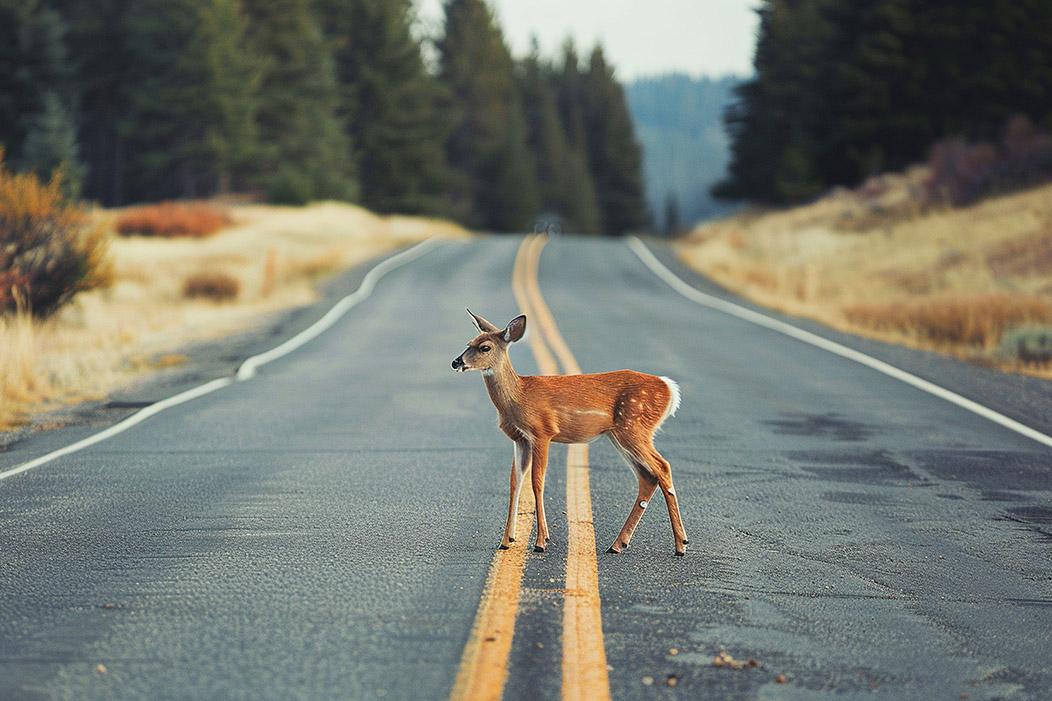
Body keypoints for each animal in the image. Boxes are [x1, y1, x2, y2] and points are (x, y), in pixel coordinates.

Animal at [452, 311, 690, 555]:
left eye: (485, 347)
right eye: (469, 343)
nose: (456, 362)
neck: (518, 398)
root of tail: (670, 389)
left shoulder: (542, 432)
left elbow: (537, 482)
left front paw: (541, 542)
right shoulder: (520, 440)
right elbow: (515, 482)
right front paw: (506, 540)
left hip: (634, 426)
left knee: (663, 467)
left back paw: (680, 544)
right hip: (620, 434)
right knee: (647, 477)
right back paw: (618, 544)